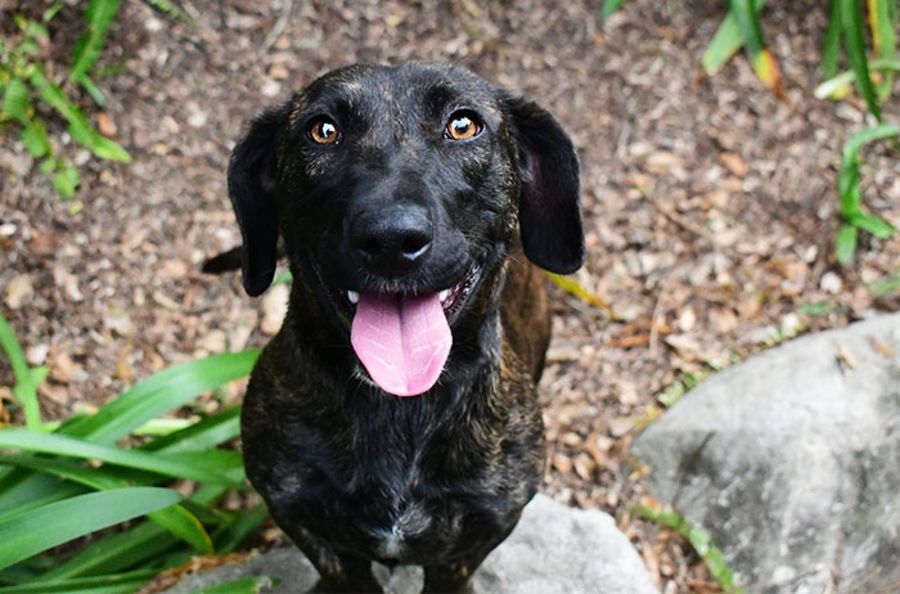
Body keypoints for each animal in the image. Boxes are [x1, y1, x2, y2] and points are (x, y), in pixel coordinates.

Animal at [210, 62, 584, 592]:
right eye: (323, 131)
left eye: (463, 125)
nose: (391, 238)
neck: (397, 404)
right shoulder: (298, 511)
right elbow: (347, 571)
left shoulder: (479, 532)